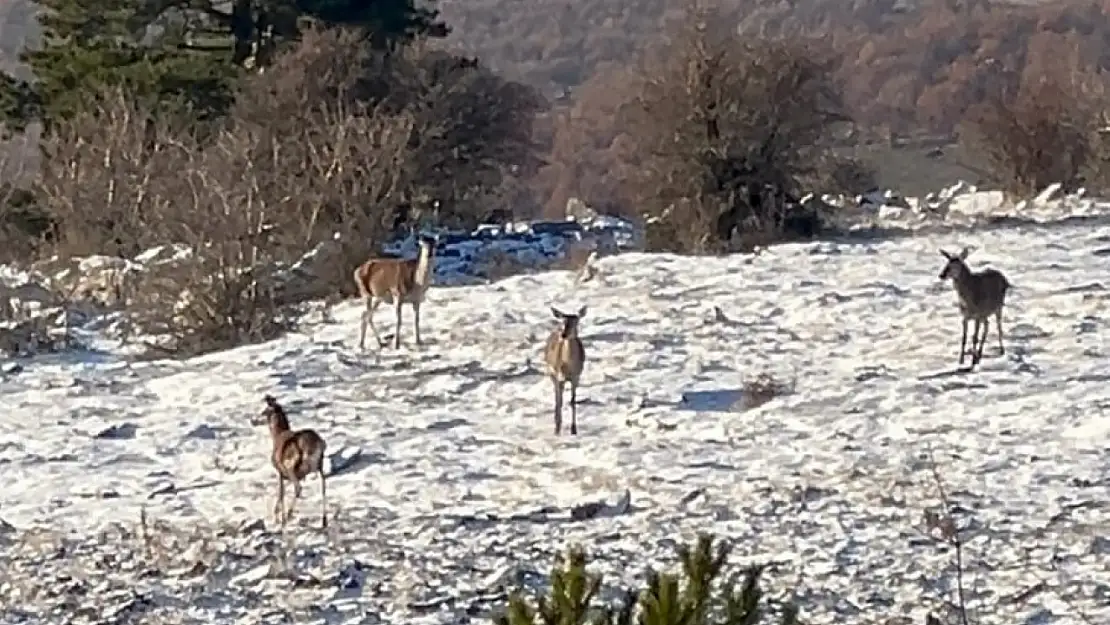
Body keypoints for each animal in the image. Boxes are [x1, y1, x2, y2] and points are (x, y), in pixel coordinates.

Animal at [256, 395, 328, 528]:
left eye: (265, 410)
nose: (254, 420)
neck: (277, 435)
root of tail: (315, 445)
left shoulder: (280, 470)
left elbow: (281, 492)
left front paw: (278, 518)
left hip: (291, 466)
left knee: (298, 488)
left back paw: (288, 517)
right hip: (319, 465)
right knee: (323, 486)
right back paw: (324, 521)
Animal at [546, 306, 590, 435]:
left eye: (576, 321)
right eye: (563, 321)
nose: (564, 334)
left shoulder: (577, 377)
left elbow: (573, 401)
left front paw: (574, 429)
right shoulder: (559, 375)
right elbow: (560, 401)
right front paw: (557, 429)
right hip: (551, 373)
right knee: (557, 398)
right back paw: (557, 424)